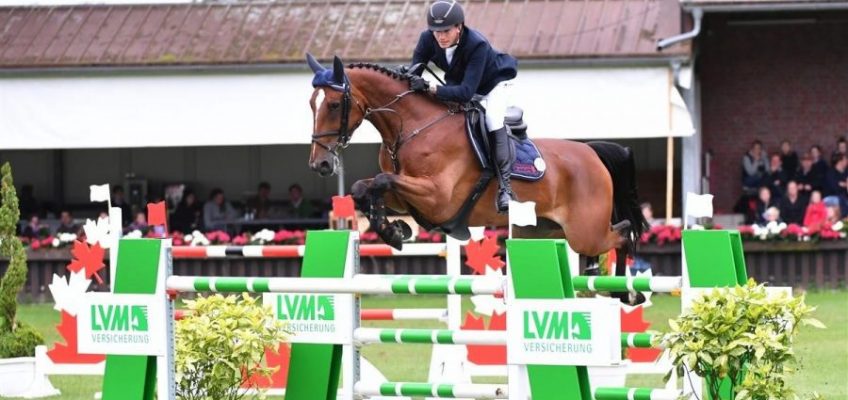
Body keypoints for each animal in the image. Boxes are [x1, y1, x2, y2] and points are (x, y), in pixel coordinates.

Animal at [308, 54, 644, 276]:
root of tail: (590, 152)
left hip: (584, 232)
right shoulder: (405, 197)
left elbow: (380, 181)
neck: (413, 127)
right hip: (542, 230)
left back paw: (626, 294)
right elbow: (364, 187)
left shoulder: (437, 197)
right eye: (312, 104)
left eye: (334, 105)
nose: (320, 164)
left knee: (622, 233)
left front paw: (393, 232)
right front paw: (394, 230)